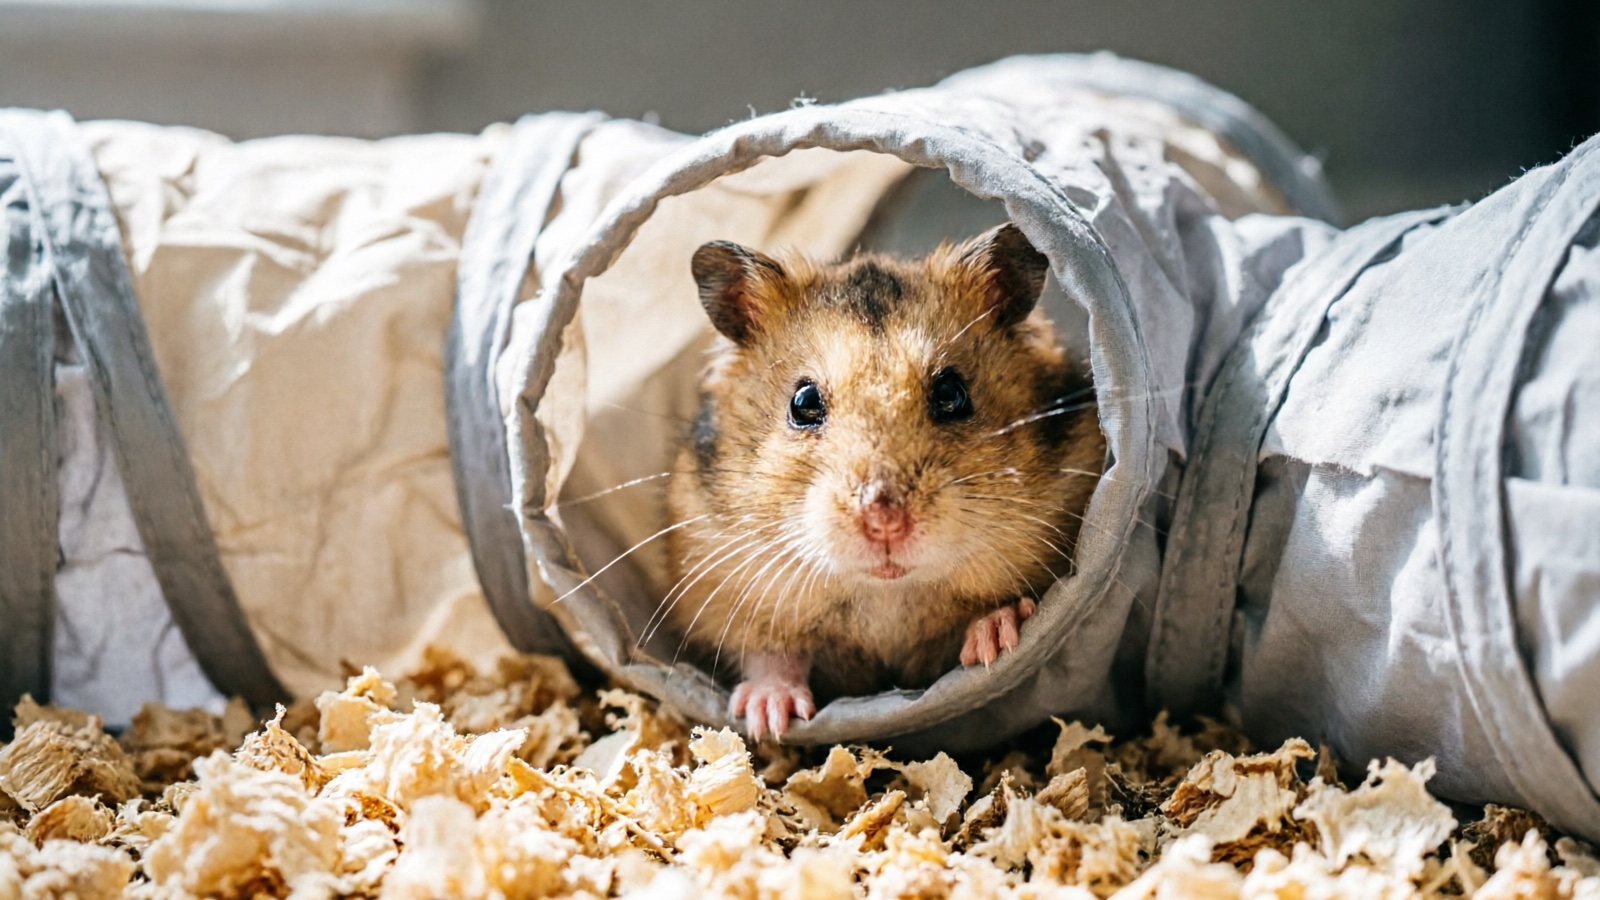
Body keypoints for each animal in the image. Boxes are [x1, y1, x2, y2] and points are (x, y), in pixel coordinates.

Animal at [664, 222, 1105, 741]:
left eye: (952, 393)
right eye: (803, 402)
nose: (885, 521)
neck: (887, 594)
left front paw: (996, 638)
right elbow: (767, 652)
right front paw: (767, 716)